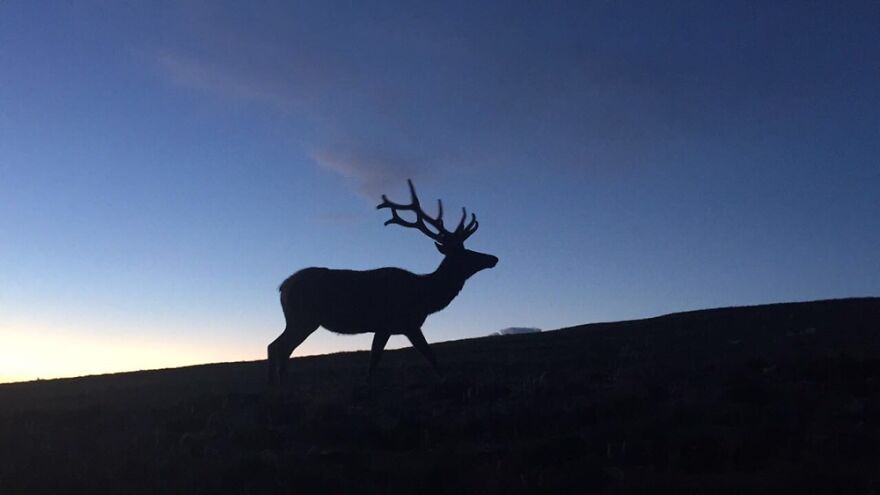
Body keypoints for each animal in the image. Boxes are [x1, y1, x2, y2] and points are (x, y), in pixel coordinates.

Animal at [267, 179, 498, 386]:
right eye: (464, 254)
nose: (493, 258)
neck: (424, 296)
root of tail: (283, 286)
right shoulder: (404, 322)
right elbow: (427, 354)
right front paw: (445, 379)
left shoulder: (385, 327)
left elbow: (374, 360)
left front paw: (367, 385)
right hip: (303, 318)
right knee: (280, 347)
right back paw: (281, 387)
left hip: (298, 319)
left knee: (275, 346)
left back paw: (276, 386)